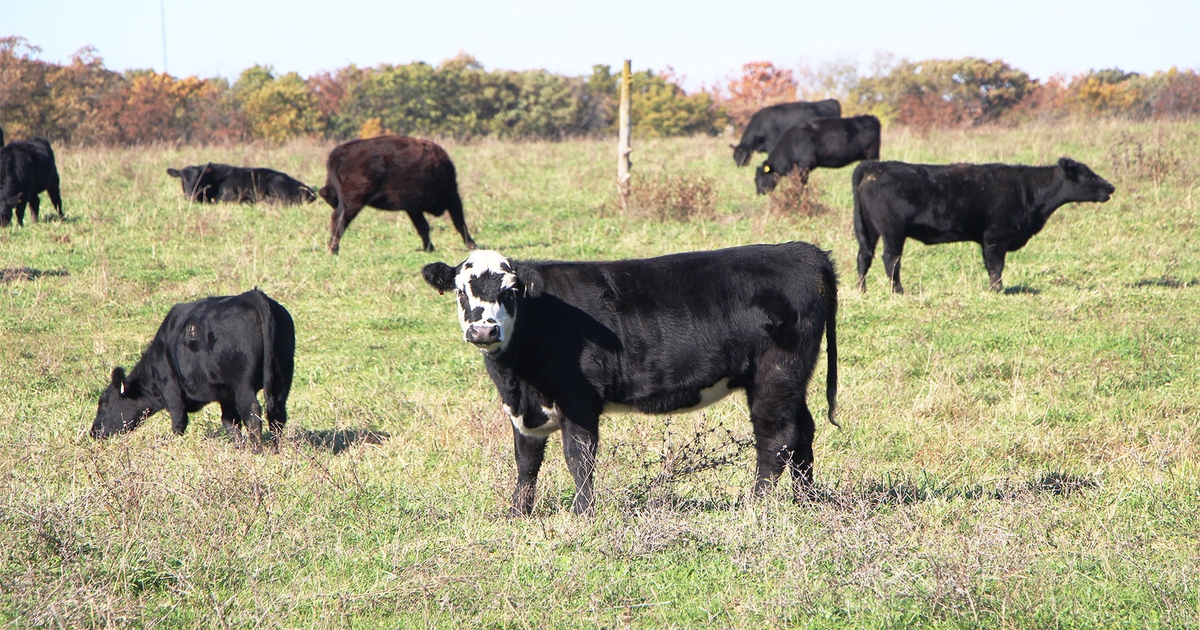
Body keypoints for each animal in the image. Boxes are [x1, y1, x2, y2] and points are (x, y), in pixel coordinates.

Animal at [91, 289, 296, 452]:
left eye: (104, 403)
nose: (93, 432)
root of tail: (252, 296)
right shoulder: (226, 395)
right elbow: (229, 422)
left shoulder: (171, 390)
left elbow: (179, 423)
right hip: (282, 374)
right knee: (276, 412)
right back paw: (275, 449)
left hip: (242, 382)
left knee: (252, 412)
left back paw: (257, 450)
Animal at [319, 135, 476, 254]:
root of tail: (338, 154)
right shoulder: (451, 196)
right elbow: (459, 222)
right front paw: (472, 245)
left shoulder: (413, 208)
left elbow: (423, 227)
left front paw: (429, 248)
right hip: (354, 202)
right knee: (340, 220)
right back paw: (334, 249)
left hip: (348, 203)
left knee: (336, 218)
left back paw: (332, 248)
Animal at [422, 243, 838, 516]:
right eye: (461, 290)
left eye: (510, 291)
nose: (483, 330)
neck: (517, 379)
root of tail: (804, 251)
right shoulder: (525, 411)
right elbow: (526, 462)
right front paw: (518, 513)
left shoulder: (578, 401)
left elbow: (579, 458)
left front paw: (583, 513)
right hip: (792, 380)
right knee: (803, 430)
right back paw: (805, 500)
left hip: (775, 374)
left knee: (775, 438)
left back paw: (755, 505)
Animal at [852, 158, 1116, 294]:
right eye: (1089, 175)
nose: (1111, 187)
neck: (1027, 189)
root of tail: (874, 166)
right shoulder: (996, 236)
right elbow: (996, 265)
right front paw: (997, 290)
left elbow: (990, 266)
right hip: (892, 232)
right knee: (891, 259)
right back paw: (898, 290)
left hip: (868, 231)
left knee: (864, 256)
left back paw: (862, 290)